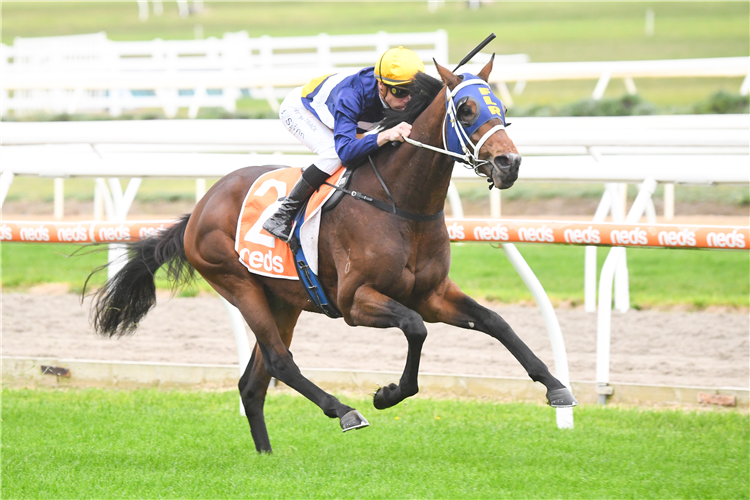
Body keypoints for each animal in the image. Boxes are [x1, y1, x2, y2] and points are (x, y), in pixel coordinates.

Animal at [89, 58, 580, 454]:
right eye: (465, 110)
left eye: (501, 108)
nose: (508, 164)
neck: (402, 206)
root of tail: (200, 207)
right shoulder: (355, 302)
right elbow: (415, 328)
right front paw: (386, 394)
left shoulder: (433, 294)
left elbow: (496, 322)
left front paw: (556, 387)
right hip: (238, 284)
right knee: (280, 361)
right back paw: (343, 410)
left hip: (283, 299)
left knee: (253, 382)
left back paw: (267, 456)